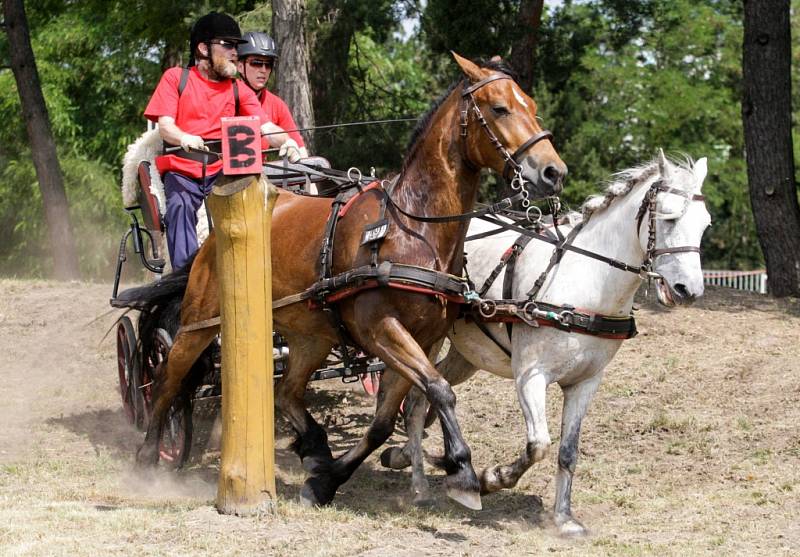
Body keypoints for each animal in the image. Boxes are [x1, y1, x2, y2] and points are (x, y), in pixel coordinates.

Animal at [122, 54, 564, 510]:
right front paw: (462, 471)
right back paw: (148, 457)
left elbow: (387, 419)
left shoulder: (424, 340)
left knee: (287, 392)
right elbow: (441, 390)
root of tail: (208, 242)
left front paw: (327, 481)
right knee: (167, 381)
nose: (554, 171)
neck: (411, 227)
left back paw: (315, 448)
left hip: (310, 336)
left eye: (532, 106)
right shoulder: (381, 330)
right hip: (199, 324)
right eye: (500, 108)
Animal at [382, 152, 712, 536]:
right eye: (669, 218)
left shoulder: (586, 382)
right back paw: (419, 486)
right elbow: (538, 444)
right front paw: (492, 478)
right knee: (416, 402)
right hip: (426, 339)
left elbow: (568, 451)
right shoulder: (531, 376)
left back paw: (410, 457)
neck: (586, 281)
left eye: (705, 225)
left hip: (468, 355)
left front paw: (564, 518)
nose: (689, 290)